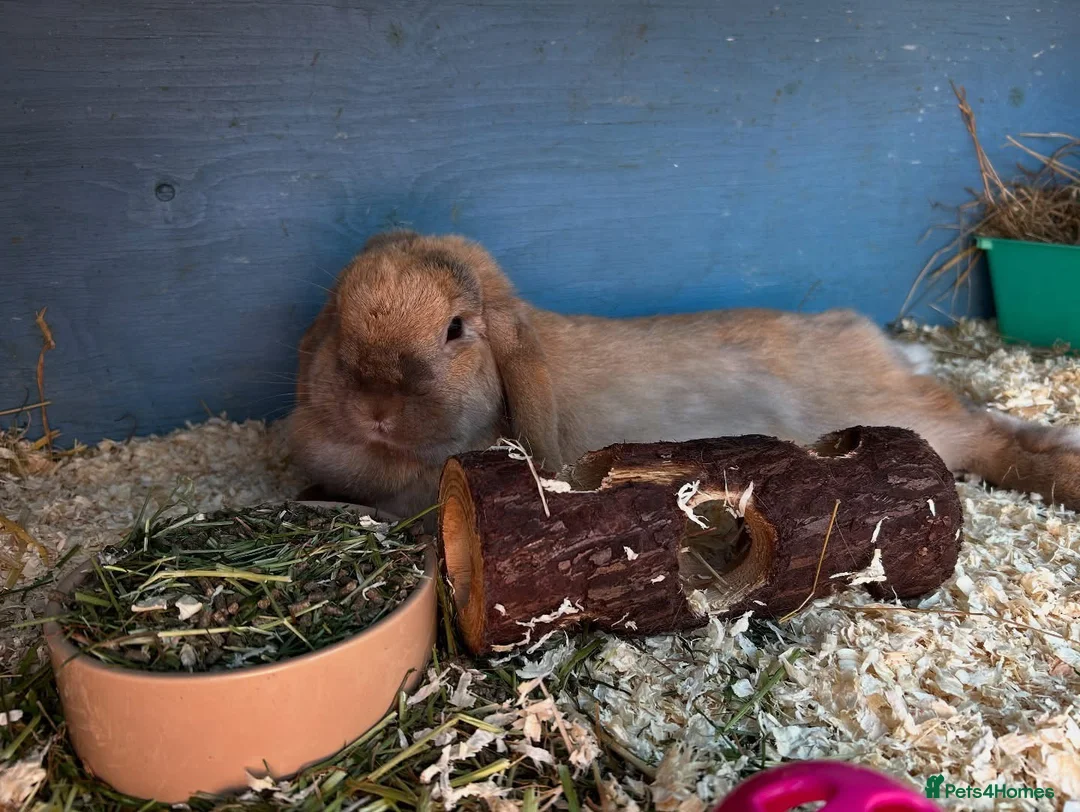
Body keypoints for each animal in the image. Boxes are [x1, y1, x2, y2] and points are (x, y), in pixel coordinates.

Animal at [287, 229, 1080, 518]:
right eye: (337, 311)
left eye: (455, 329)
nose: (375, 408)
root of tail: (879, 345)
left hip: (912, 421)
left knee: (990, 440)